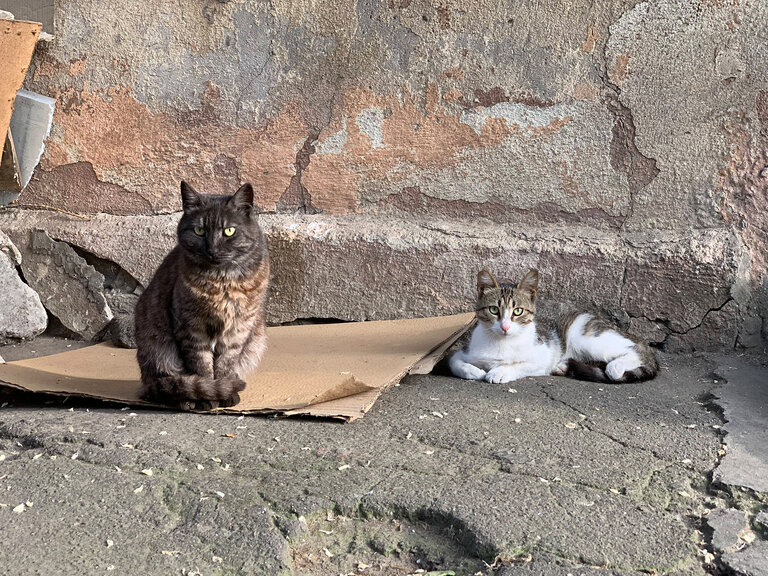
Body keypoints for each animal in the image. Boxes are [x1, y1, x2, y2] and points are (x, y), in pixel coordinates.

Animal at [135, 181, 270, 410]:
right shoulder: (191, 328)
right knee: (166, 387)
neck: (222, 282)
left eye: (229, 231)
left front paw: (226, 392)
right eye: (199, 230)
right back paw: (187, 400)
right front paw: (208, 397)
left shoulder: (238, 328)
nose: (212, 250)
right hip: (158, 352)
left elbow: (225, 364)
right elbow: (202, 367)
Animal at [450, 268, 660, 384]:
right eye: (494, 310)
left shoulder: (543, 355)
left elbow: (519, 364)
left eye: (518, 311)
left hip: (585, 337)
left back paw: (615, 367)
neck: (501, 343)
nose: (505, 327)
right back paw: (563, 366)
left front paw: (499, 371)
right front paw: (475, 371)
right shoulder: (462, 351)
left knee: (635, 350)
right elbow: (455, 363)